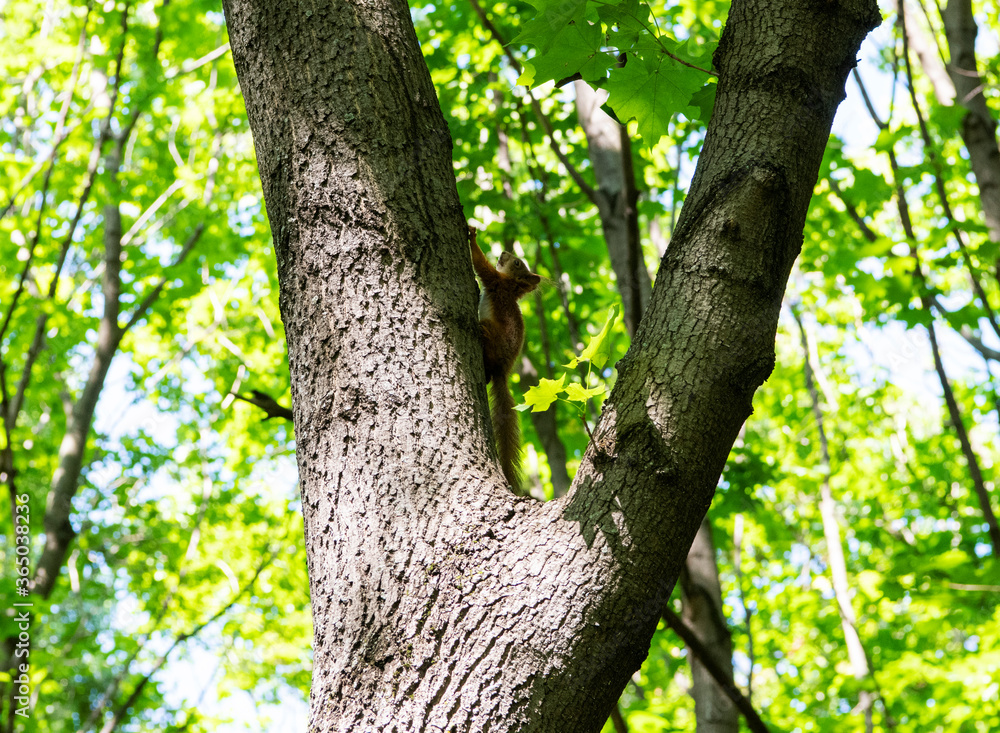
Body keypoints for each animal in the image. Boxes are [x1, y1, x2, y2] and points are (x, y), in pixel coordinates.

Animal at [468, 225, 540, 493]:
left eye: (518, 262)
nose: (504, 252)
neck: (510, 285)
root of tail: (502, 370)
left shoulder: (494, 281)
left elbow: (480, 265)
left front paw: (472, 235)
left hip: (491, 334)